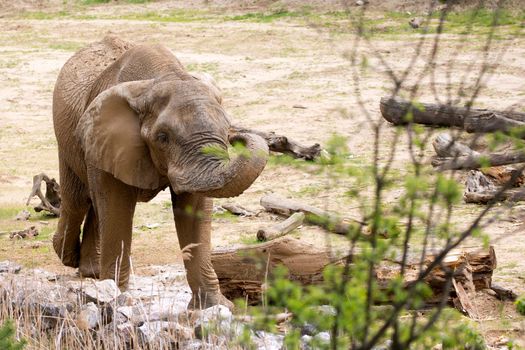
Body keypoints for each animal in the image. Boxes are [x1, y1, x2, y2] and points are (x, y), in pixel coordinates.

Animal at [51, 36, 268, 308]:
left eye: (226, 129)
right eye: (162, 137)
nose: (239, 135)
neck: (159, 78)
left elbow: (194, 210)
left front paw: (213, 307)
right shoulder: (107, 138)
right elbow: (116, 208)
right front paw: (117, 301)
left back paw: (91, 272)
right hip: (68, 139)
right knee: (79, 199)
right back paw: (67, 256)